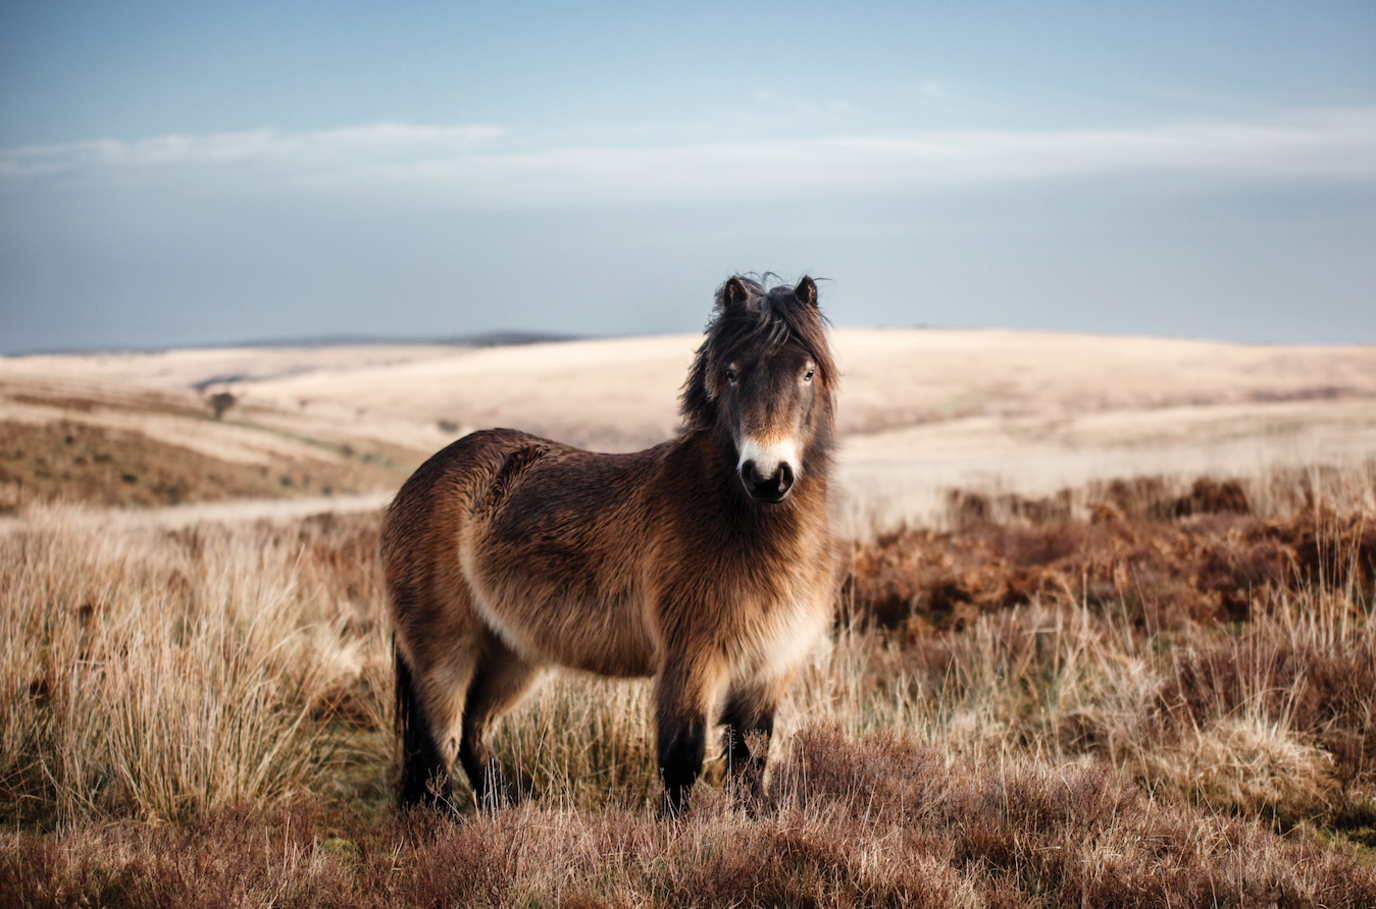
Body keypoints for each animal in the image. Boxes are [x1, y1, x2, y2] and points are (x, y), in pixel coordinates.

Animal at [383, 274, 839, 817]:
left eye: (807, 372)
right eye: (730, 373)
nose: (767, 477)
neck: (738, 525)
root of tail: (416, 481)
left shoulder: (767, 671)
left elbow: (751, 763)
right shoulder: (690, 663)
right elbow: (681, 762)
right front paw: (676, 835)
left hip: (511, 652)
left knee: (475, 731)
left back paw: (506, 810)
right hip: (444, 653)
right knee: (440, 746)